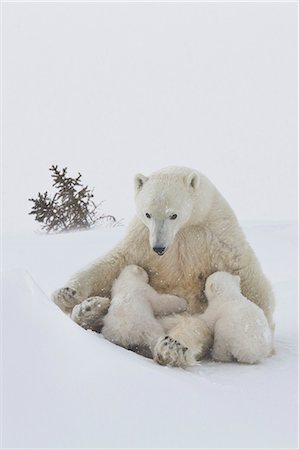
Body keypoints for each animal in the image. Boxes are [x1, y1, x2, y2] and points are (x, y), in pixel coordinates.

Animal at [52, 167, 276, 368]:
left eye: (173, 215)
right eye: (148, 214)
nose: (159, 247)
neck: (186, 228)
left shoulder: (218, 236)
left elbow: (246, 277)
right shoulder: (141, 238)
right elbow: (115, 261)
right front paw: (67, 293)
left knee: (192, 327)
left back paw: (172, 347)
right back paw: (88, 309)